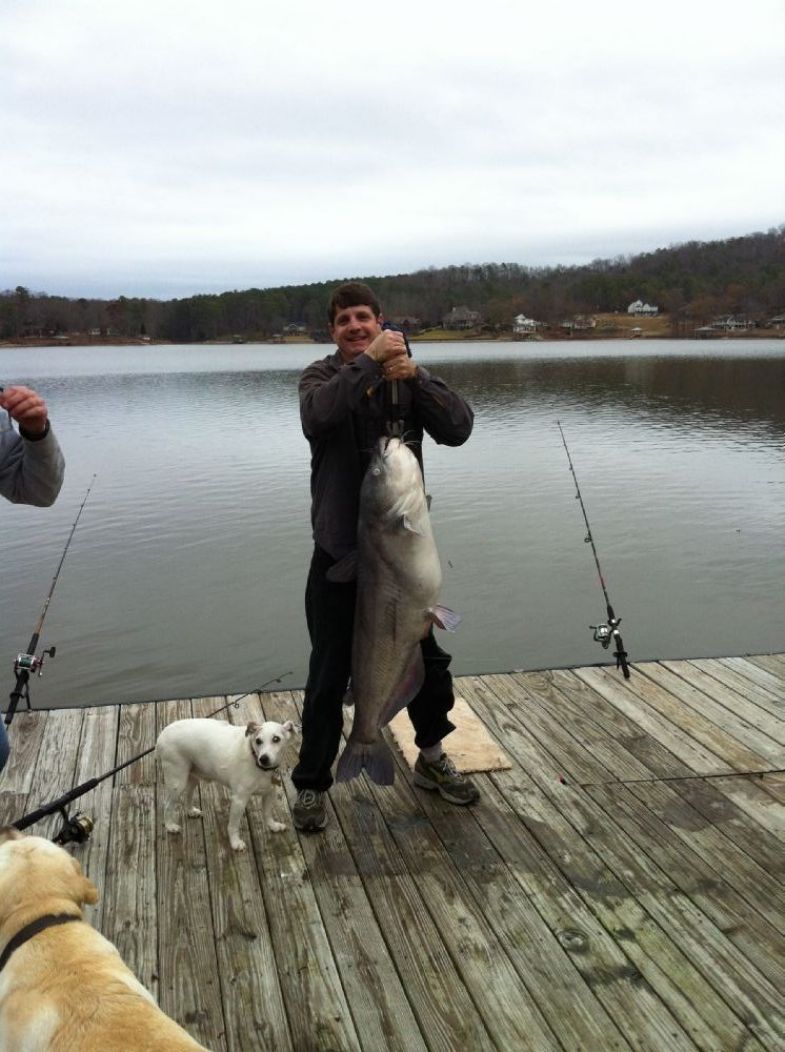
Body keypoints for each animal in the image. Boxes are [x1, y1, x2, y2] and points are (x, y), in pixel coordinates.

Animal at [154, 715, 294, 854]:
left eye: (276, 739)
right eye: (258, 741)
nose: (263, 759)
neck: (257, 762)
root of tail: (161, 735)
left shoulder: (270, 793)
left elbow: (267, 814)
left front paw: (273, 826)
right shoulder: (239, 800)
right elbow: (233, 825)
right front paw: (235, 843)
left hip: (192, 777)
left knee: (188, 795)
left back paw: (191, 811)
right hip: (177, 782)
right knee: (167, 805)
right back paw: (170, 826)